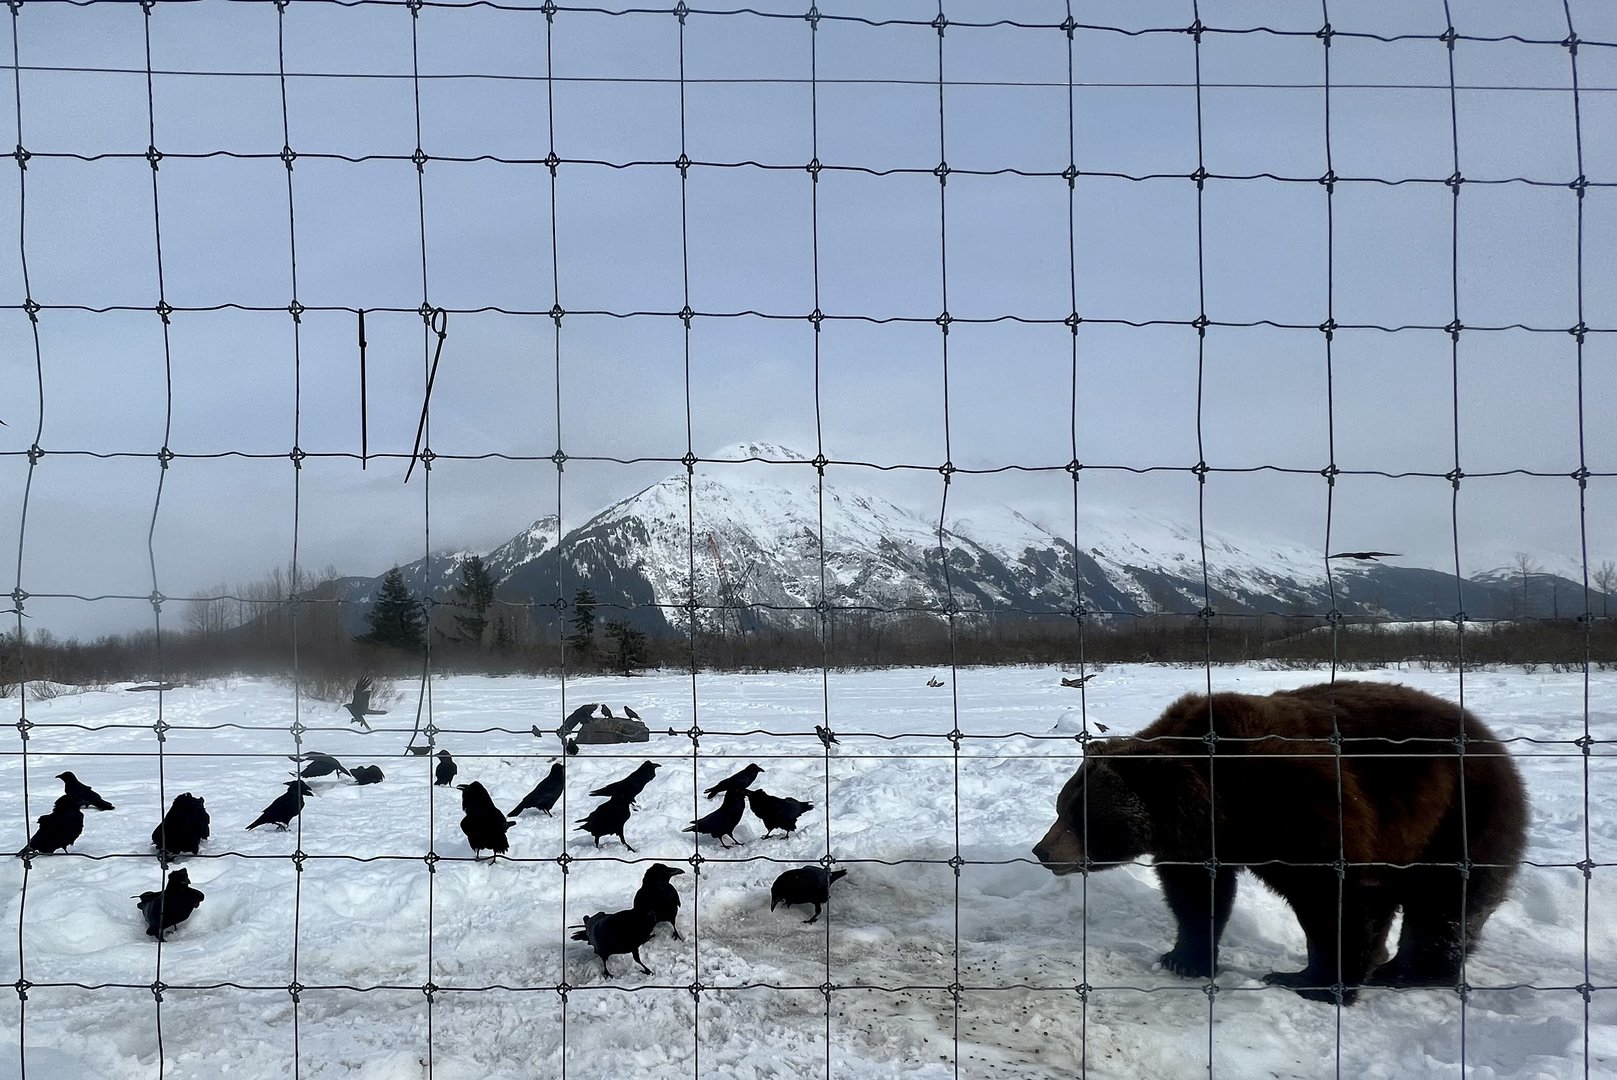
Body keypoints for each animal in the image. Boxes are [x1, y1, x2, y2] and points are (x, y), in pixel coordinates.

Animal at [1032, 680, 1528, 1005]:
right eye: (1062, 805)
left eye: (1078, 815)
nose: (1043, 851)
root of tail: (1493, 741)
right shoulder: (1201, 845)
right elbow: (1195, 897)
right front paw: (1184, 957)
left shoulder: (1299, 802)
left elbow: (1338, 896)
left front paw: (1318, 982)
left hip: (1462, 812)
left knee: (1444, 899)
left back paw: (1408, 971)